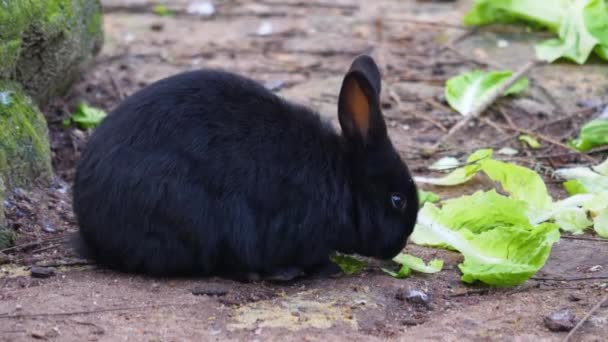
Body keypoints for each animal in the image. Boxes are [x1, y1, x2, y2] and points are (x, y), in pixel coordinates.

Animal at [72, 55, 418, 280]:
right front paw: (326, 267)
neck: (343, 181)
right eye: (397, 200)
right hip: (196, 216)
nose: (398, 247)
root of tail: (92, 232)